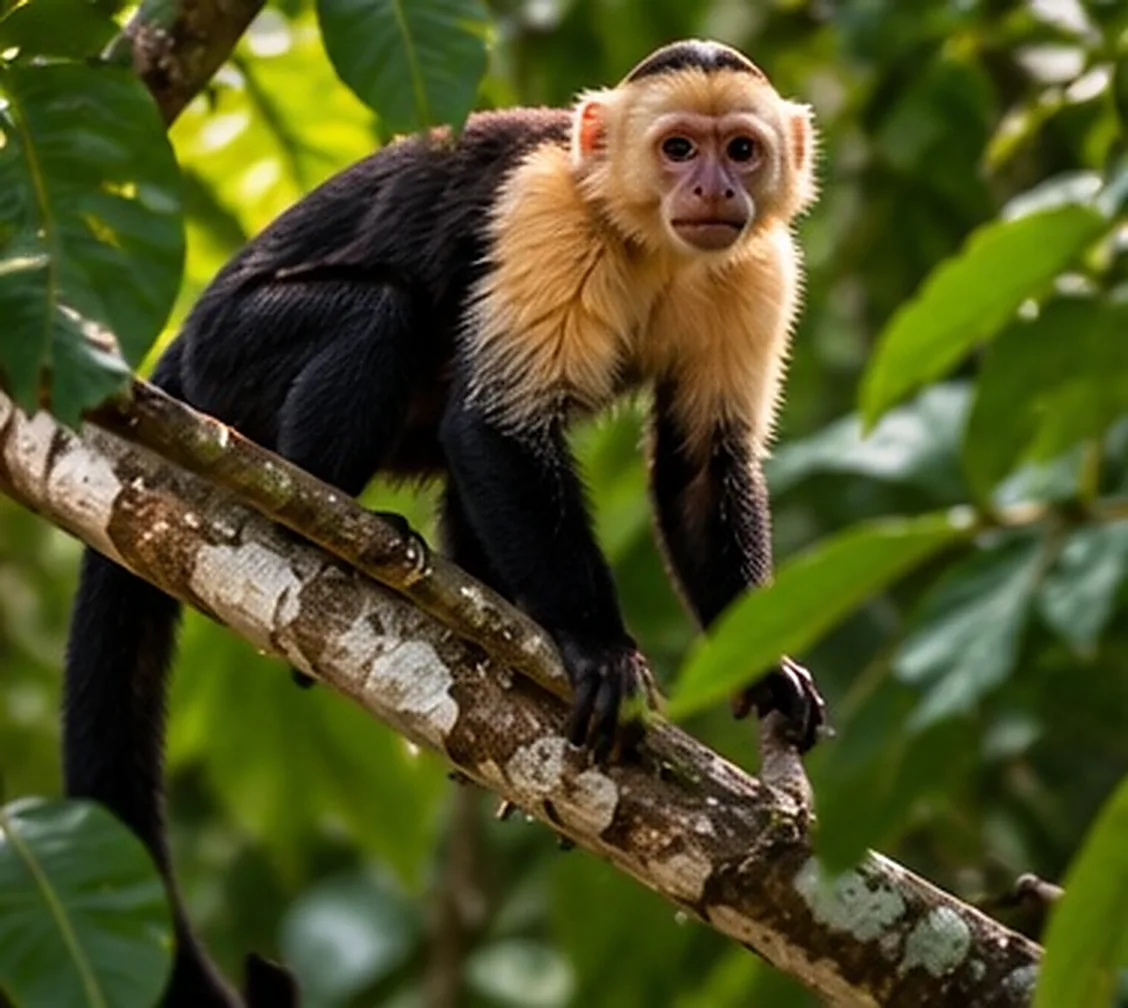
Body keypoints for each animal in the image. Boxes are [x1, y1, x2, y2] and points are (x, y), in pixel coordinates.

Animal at [62, 39, 824, 1006]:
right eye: (679, 148)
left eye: (743, 151)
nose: (714, 189)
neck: (649, 240)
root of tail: (175, 359)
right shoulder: (545, 210)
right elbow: (496, 425)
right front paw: (597, 645)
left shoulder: (758, 270)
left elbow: (700, 466)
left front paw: (763, 668)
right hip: (230, 360)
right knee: (382, 316)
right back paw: (319, 527)